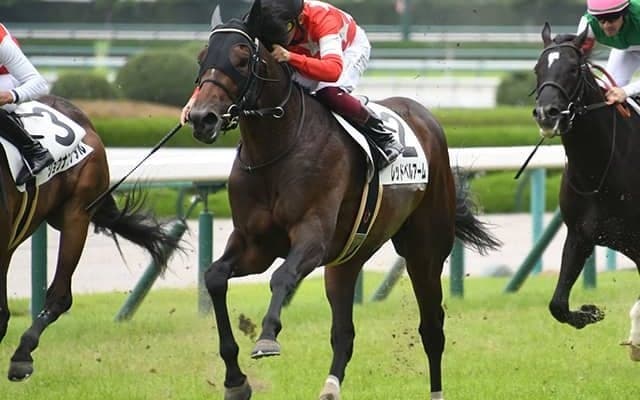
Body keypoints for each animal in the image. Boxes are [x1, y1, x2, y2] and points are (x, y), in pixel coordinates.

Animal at [187, 11, 500, 400]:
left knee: (432, 328)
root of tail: (422, 114)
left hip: (424, 251)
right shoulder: (254, 244)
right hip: (347, 259)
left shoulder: (313, 235)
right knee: (344, 333)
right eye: (202, 57)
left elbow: (282, 276)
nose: (201, 117)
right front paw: (235, 380)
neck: (277, 149)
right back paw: (330, 387)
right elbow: (215, 277)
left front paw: (267, 337)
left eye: (242, 59)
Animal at [533, 23, 640, 361]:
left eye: (572, 68)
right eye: (537, 68)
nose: (547, 113)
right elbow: (557, 304)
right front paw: (588, 312)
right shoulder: (580, 234)